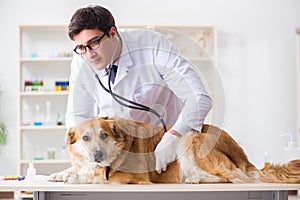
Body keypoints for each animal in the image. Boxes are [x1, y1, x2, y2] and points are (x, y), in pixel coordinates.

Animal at [48, 116, 300, 184]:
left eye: (104, 135)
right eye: (85, 138)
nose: (97, 155)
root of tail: (243, 156)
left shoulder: (133, 177)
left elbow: (101, 177)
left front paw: (77, 178)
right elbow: (79, 169)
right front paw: (60, 174)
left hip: (190, 138)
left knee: (227, 178)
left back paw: (194, 179)